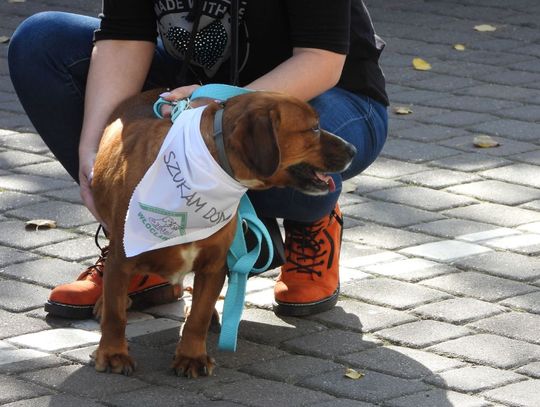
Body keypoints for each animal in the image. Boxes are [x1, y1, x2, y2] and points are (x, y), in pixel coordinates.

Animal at [90, 87, 356, 378]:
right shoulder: (122, 259)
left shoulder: (214, 265)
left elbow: (199, 315)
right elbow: (115, 316)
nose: (353, 149)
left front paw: (191, 355)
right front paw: (113, 353)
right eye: (314, 128)